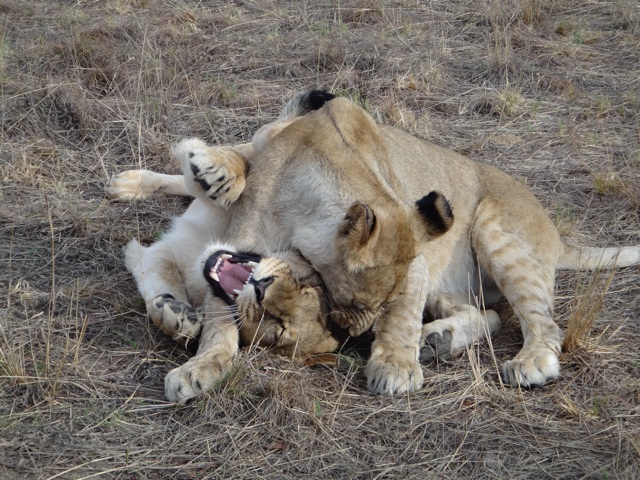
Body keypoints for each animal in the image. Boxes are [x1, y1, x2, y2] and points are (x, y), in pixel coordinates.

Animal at [109, 90, 640, 403]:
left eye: (319, 292)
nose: (355, 334)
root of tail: (555, 230)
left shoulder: (418, 260)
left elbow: (401, 316)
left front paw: (396, 363)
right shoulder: (238, 238)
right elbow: (219, 323)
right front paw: (202, 366)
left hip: (495, 233)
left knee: (542, 323)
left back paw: (521, 360)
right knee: (488, 314)